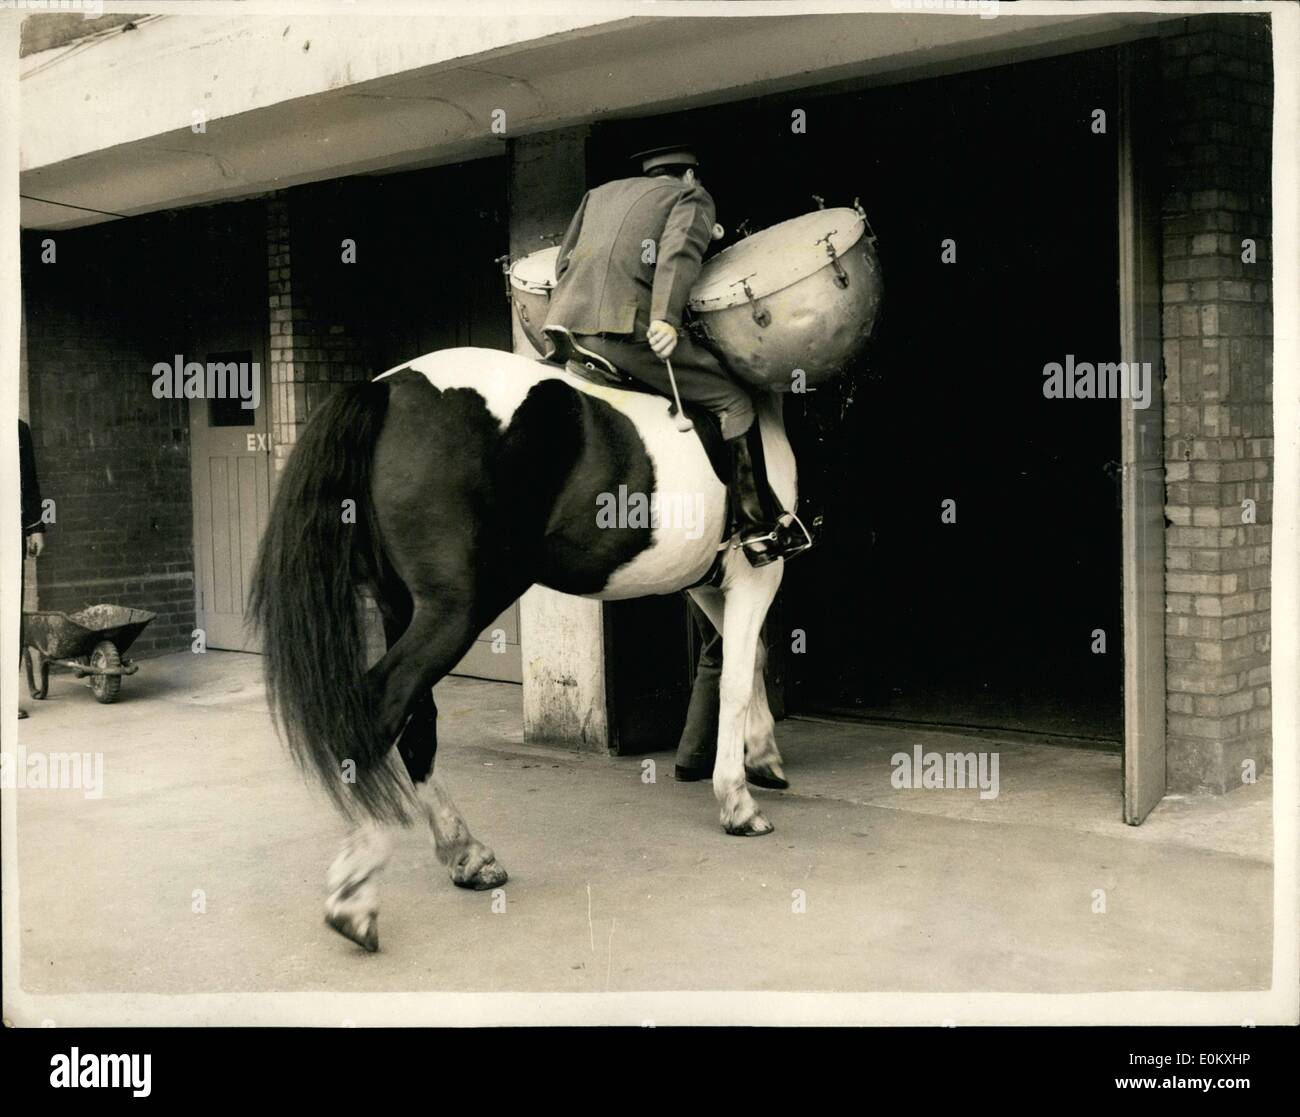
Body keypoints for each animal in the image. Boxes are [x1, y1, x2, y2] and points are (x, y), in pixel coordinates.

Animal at [244, 343, 790, 951]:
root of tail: (386, 390)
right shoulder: (756, 573)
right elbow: (737, 679)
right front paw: (738, 800)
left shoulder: (708, 583)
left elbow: (751, 660)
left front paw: (763, 756)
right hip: (457, 612)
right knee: (382, 709)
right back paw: (356, 892)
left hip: (401, 607)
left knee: (418, 726)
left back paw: (465, 853)